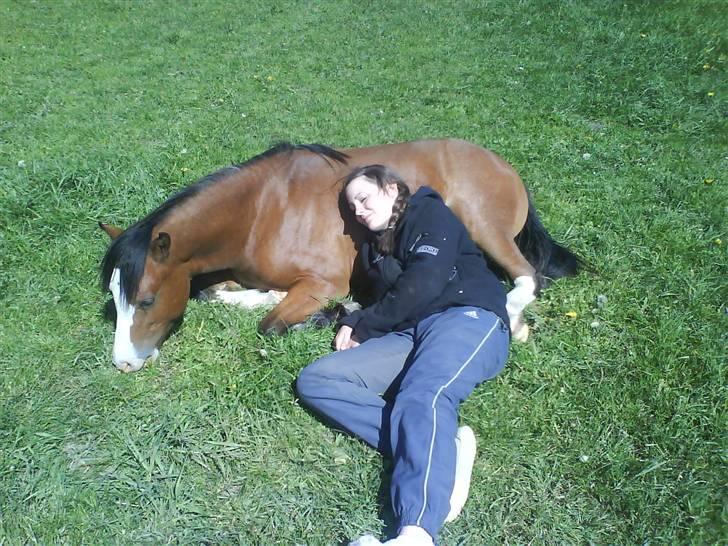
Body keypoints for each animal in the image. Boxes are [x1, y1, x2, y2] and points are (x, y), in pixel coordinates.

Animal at [101, 138, 580, 372]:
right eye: (115, 301)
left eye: (146, 300)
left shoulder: (323, 282)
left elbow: (270, 325)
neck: (261, 211)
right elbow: (212, 293)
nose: (123, 362)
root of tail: (504, 167)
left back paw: (516, 321)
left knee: (528, 276)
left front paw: (332, 313)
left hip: (480, 224)